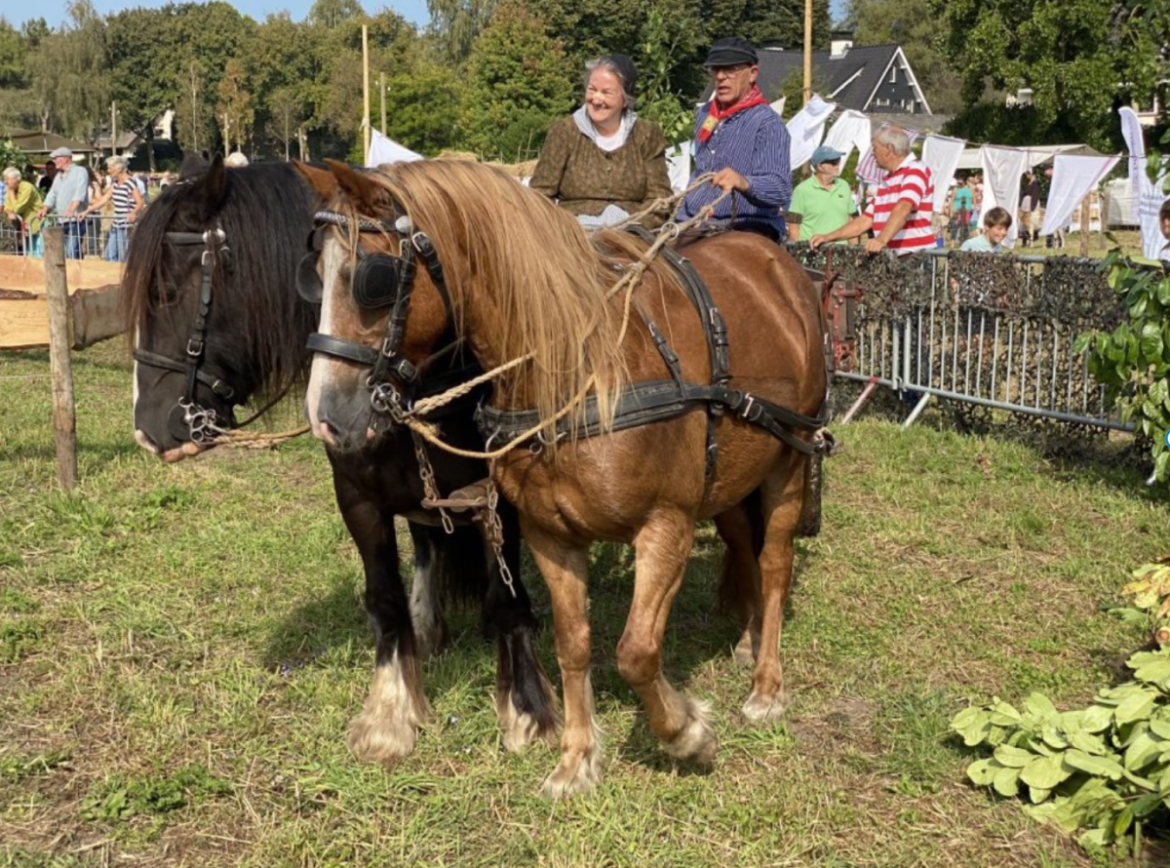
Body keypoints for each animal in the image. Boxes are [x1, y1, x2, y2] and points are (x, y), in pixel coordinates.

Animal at [301, 160, 833, 800]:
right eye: (314, 276)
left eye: (370, 279)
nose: (326, 415)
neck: (582, 375)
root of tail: (778, 264)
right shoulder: (548, 535)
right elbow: (571, 642)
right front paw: (576, 759)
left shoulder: (667, 528)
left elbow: (636, 651)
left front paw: (687, 734)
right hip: (731, 479)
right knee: (744, 550)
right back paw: (749, 642)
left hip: (787, 463)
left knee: (775, 564)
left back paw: (766, 685)